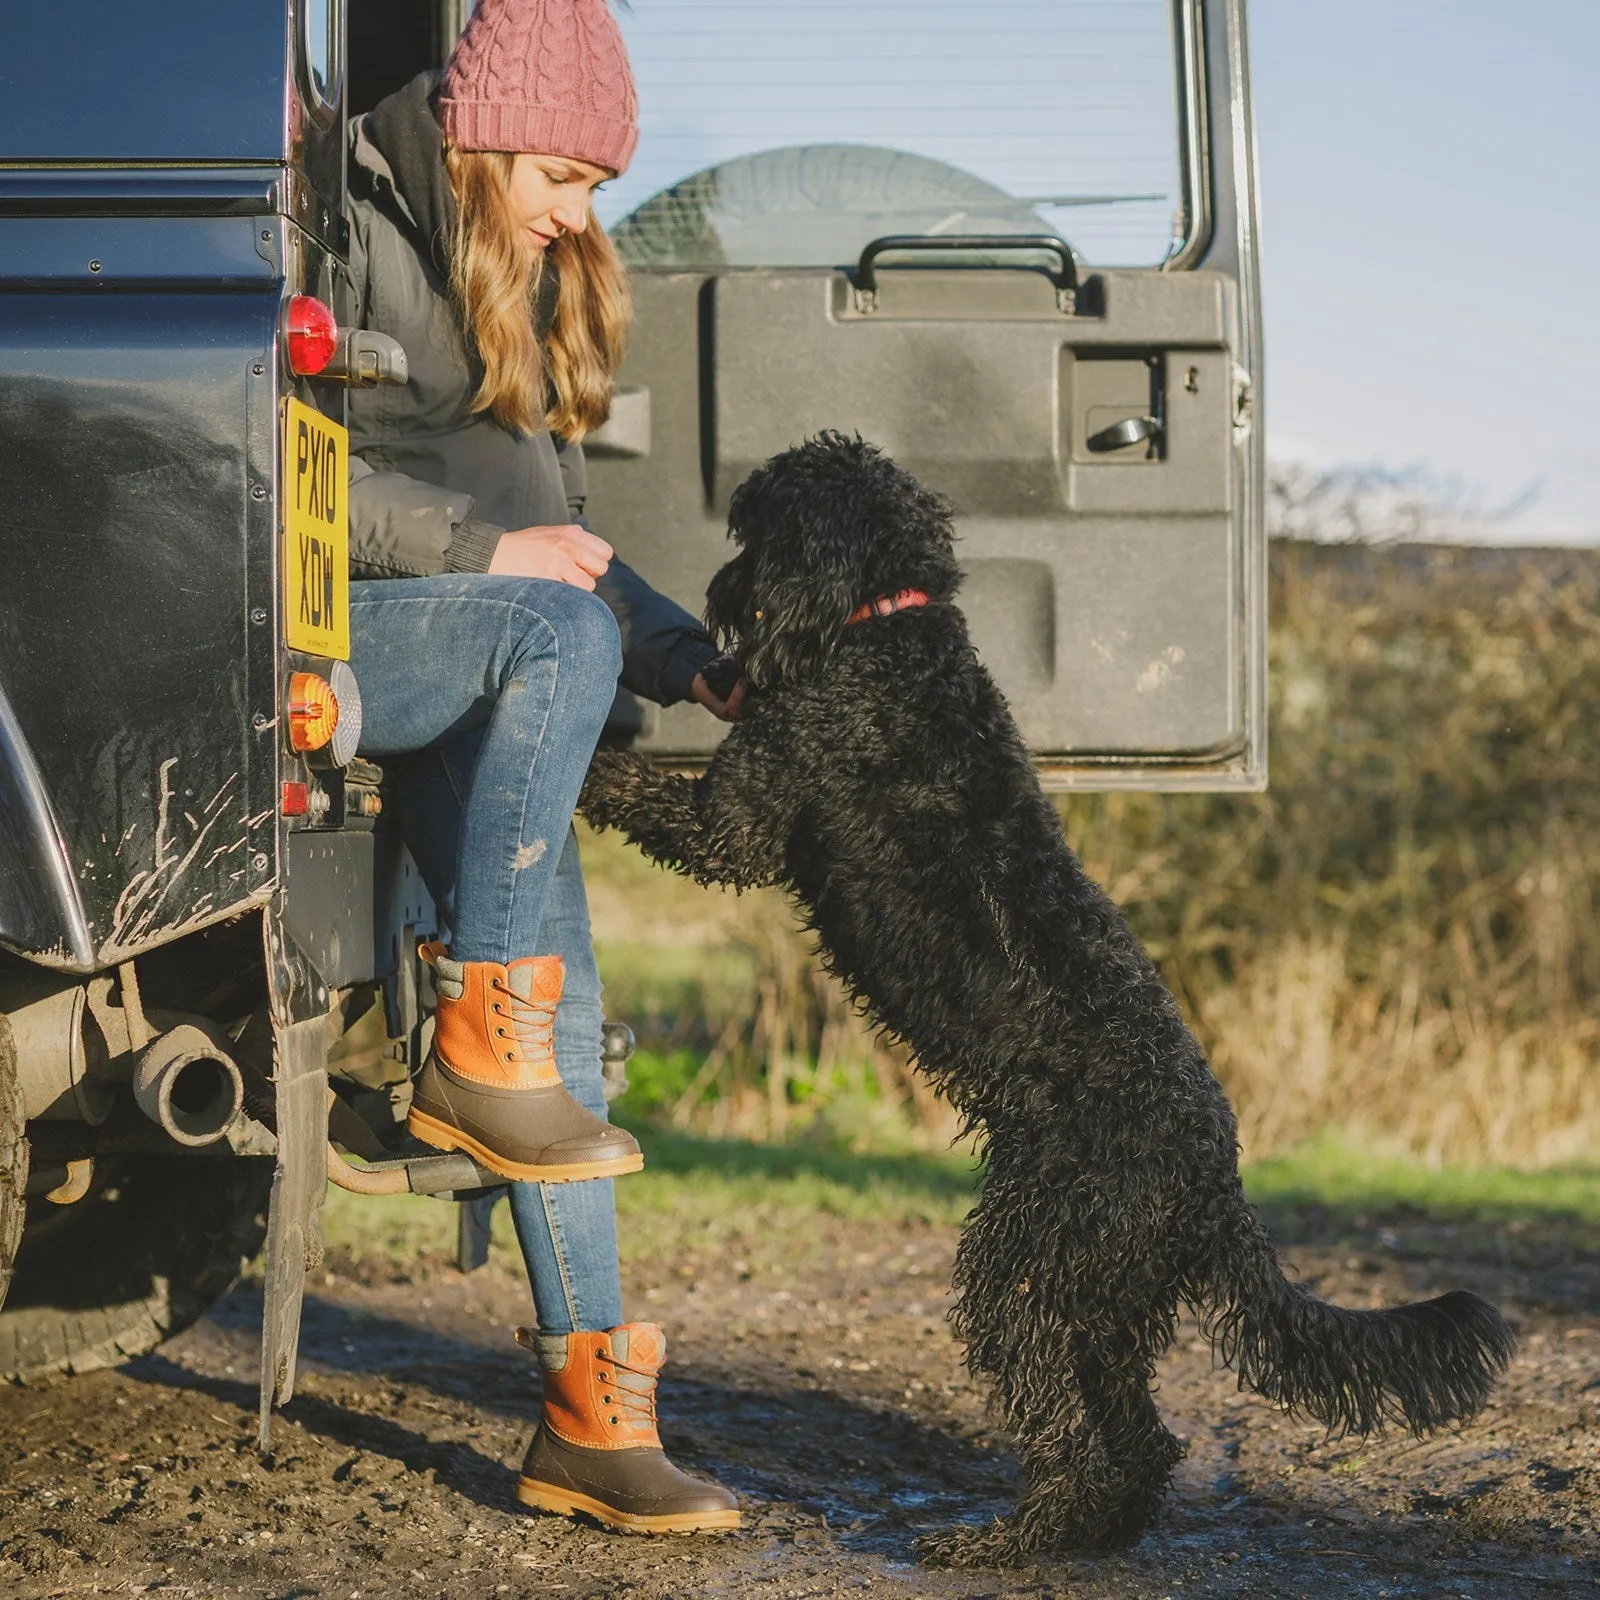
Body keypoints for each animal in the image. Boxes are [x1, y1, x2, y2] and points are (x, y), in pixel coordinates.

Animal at [582, 432, 1516, 1555]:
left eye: (756, 526)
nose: (720, 598)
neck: (886, 630)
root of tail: (1214, 1180)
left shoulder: (739, 823)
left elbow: (646, 797)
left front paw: (587, 762)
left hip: (1025, 1266)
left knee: (1071, 1428)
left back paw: (1003, 1540)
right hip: (1103, 1296)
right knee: (1141, 1439)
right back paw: (1090, 1534)